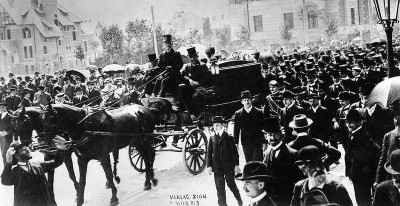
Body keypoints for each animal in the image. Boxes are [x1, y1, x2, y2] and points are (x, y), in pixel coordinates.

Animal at [10, 104, 157, 206]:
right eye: (14, 127)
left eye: (25, 122)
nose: (25, 144)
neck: (85, 126)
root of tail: (145, 108)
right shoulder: (81, 159)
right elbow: (80, 180)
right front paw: (78, 198)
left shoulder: (102, 156)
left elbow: (107, 175)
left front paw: (114, 197)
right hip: (135, 141)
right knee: (146, 156)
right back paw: (149, 179)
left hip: (143, 139)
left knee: (149, 155)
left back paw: (149, 180)